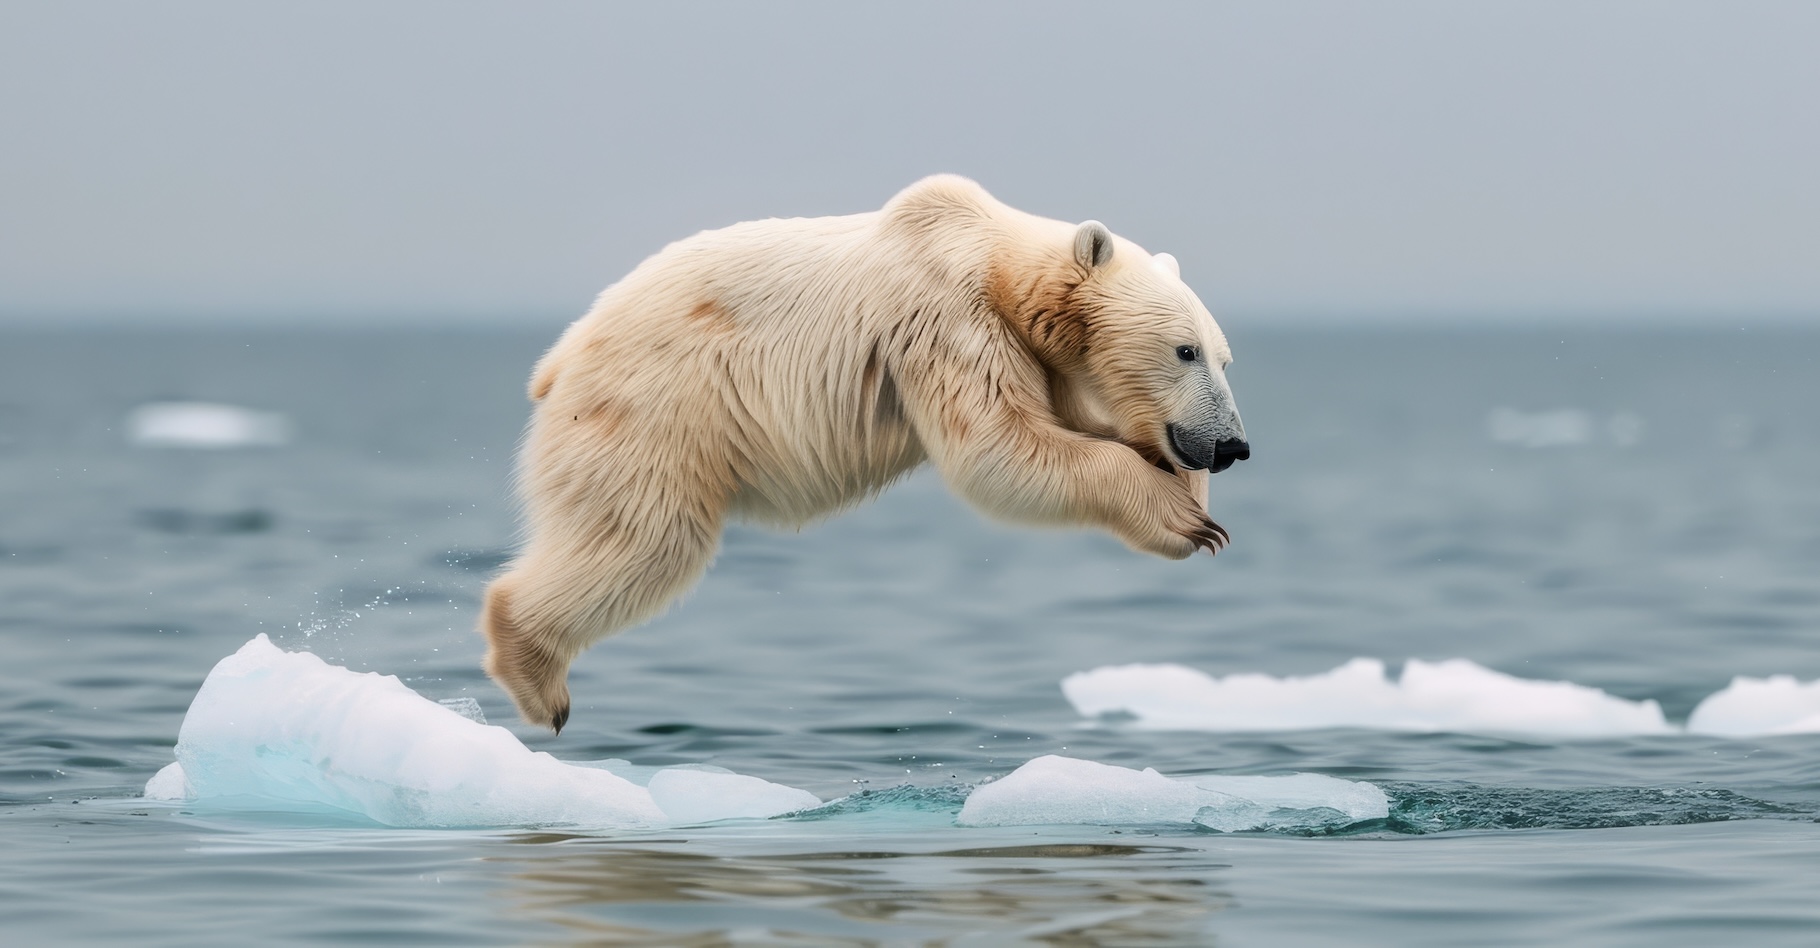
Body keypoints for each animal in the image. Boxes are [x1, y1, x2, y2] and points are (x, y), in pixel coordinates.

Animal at [484, 173, 1252, 727]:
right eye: (1185, 350)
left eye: (1224, 357)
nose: (1233, 446)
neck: (992, 255)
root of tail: (560, 357)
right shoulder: (947, 319)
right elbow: (1001, 450)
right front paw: (1184, 519)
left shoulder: (1034, 353)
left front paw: (1187, 492)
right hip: (655, 408)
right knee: (643, 536)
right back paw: (537, 675)